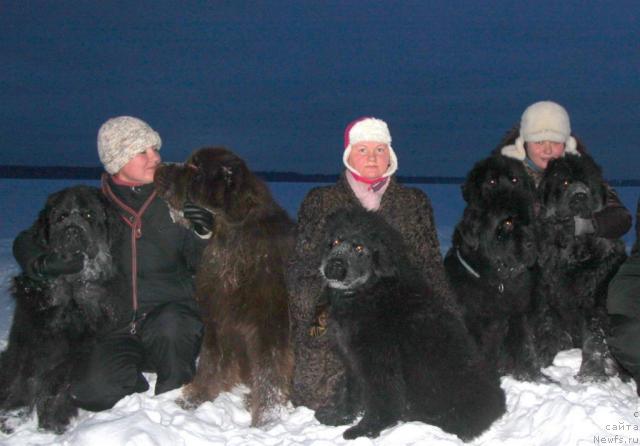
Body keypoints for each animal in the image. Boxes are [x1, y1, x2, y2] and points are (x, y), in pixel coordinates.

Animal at [0, 186, 129, 434]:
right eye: (60, 217)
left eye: (89, 215)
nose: (72, 230)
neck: (70, 292)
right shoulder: (30, 338)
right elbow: (24, 378)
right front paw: (13, 416)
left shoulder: (79, 350)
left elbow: (58, 385)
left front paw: (52, 421)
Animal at [155, 146, 296, 426]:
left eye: (196, 168)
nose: (158, 167)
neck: (229, 239)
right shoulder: (218, 318)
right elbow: (210, 362)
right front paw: (194, 398)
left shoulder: (270, 326)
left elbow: (269, 374)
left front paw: (266, 420)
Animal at [316, 208, 504, 440]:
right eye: (334, 242)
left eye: (359, 247)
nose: (332, 267)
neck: (369, 293)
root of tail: (496, 403)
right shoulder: (352, 359)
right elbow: (350, 390)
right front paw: (339, 416)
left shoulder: (379, 361)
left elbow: (382, 399)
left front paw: (366, 428)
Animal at [448, 156, 544, 380]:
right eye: (507, 223)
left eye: (528, 222)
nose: (532, 243)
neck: (498, 281)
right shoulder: (474, 319)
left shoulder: (517, 313)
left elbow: (523, 346)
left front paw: (530, 377)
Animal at [536, 154, 624, 380]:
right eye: (565, 182)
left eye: (588, 185)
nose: (580, 195)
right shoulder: (550, 296)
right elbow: (548, 325)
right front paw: (543, 358)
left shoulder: (594, 303)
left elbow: (594, 338)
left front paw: (591, 374)